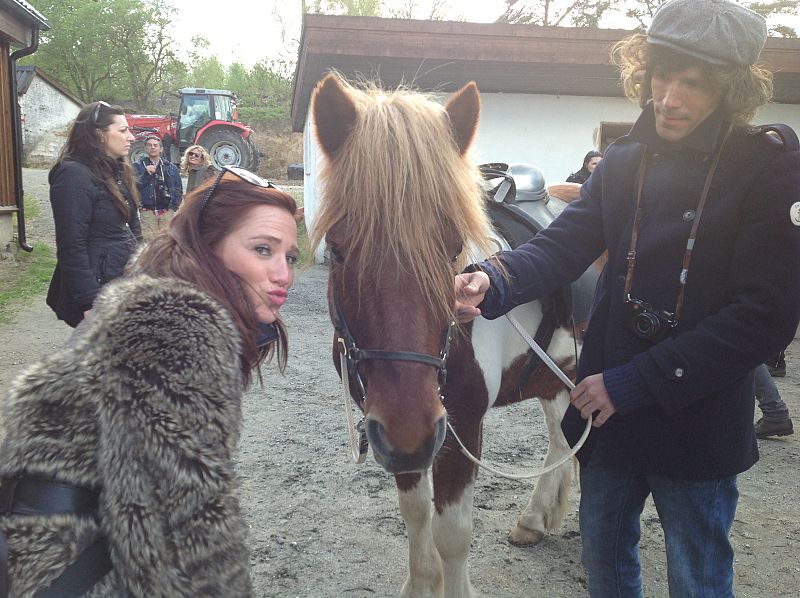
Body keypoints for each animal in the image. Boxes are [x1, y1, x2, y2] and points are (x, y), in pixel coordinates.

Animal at [309, 73, 582, 598]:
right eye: (338, 251)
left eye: (453, 248)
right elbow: (416, 517)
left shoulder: (460, 427)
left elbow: (451, 533)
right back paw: (535, 518)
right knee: (562, 441)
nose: (410, 430)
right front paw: (420, 585)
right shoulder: (402, 436)